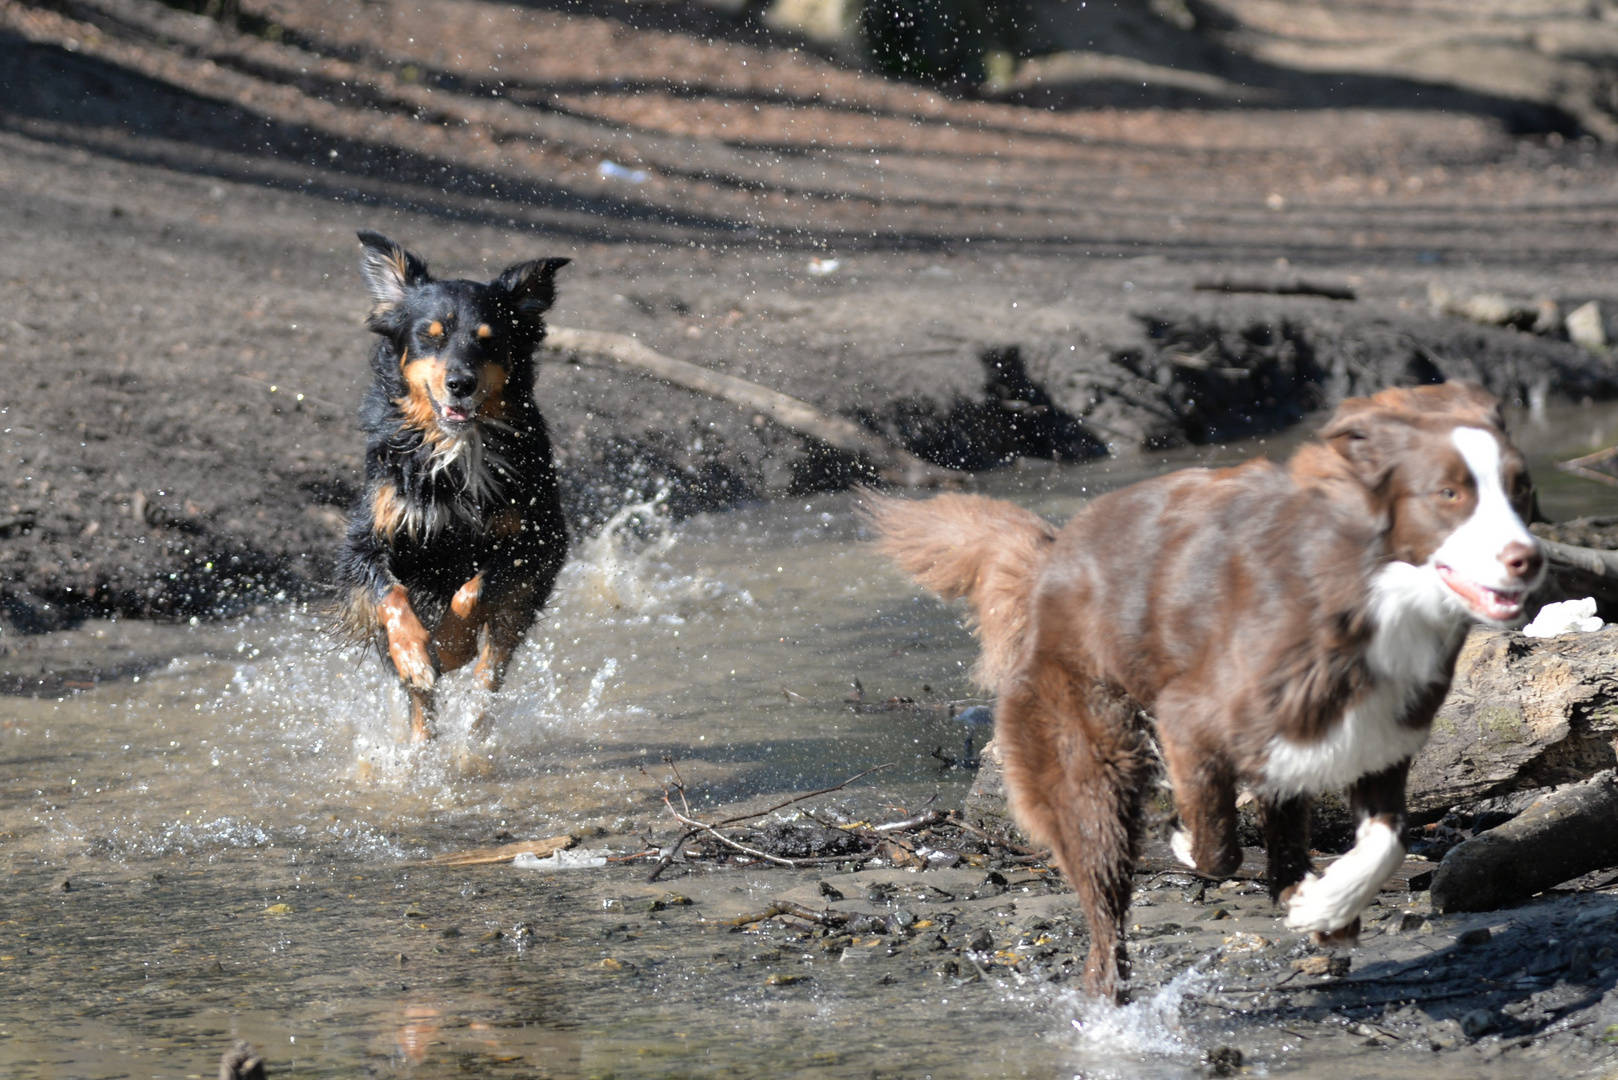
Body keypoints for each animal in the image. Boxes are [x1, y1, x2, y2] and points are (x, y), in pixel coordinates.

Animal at [338, 233, 572, 744]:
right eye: (431, 335)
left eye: (490, 342)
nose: (460, 383)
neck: (454, 450)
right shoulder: (365, 541)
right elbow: (390, 595)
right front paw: (415, 652)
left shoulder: (537, 542)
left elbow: (474, 590)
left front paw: (449, 645)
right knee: (422, 702)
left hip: (520, 607)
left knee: (491, 670)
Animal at [873, 383, 1540, 1003]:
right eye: (1448, 494)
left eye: (1520, 489)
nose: (1527, 560)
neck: (1371, 598)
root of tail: (1050, 561)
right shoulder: (1190, 720)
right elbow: (1217, 846)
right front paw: (1189, 844)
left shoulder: (1380, 742)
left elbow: (1389, 841)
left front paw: (1327, 906)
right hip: (1091, 764)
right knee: (1105, 916)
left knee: (1282, 845)